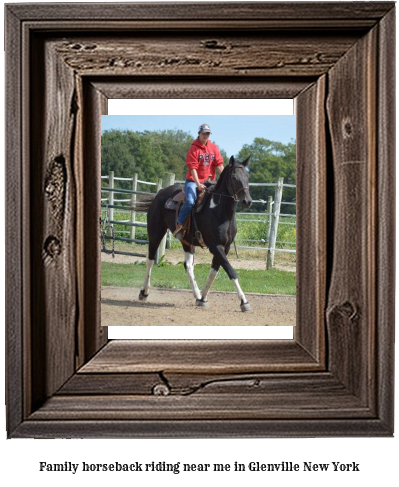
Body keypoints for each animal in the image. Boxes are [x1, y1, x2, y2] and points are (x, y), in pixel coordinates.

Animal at [136, 158, 252, 314]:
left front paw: (202, 298)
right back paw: (144, 292)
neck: (220, 211)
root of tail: (159, 194)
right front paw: (244, 302)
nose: (247, 201)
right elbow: (231, 271)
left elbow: (214, 272)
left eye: (247, 177)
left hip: (187, 241)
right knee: (149, 260)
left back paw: (196, 295)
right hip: (155, 232)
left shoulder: (225, 247)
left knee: (188, 266)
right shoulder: (215, 246)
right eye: (234, 177)